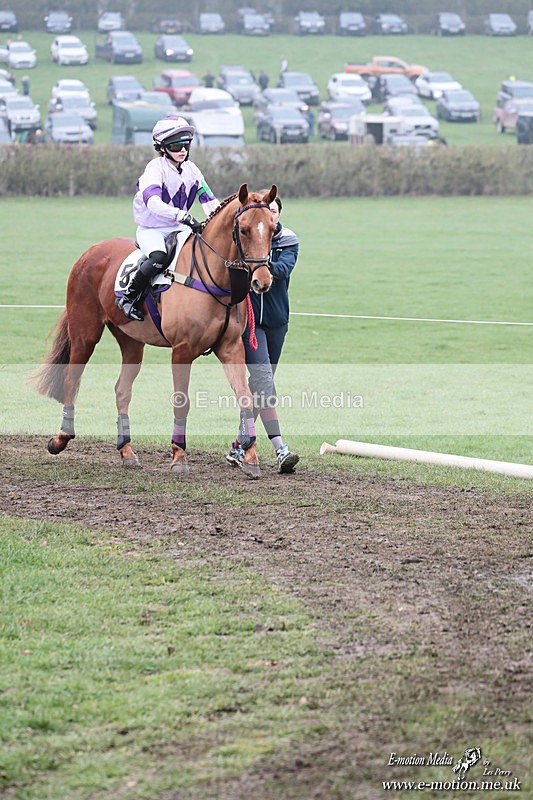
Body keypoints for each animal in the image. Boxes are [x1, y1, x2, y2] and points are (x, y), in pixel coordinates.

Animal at [34, 183, 278, 479]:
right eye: (243, 229)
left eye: (273, 228)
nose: (262, 281)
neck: (212, 279)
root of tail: (91, 251)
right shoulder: (182, 350)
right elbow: (181, 401)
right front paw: (179, 456)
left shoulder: (231, 348)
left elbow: (245, 396)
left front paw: (250, 457)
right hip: (85, 334)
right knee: (72, 379)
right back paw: (61, 438)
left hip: (131, 342)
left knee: (122, 390)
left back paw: (127, 451)